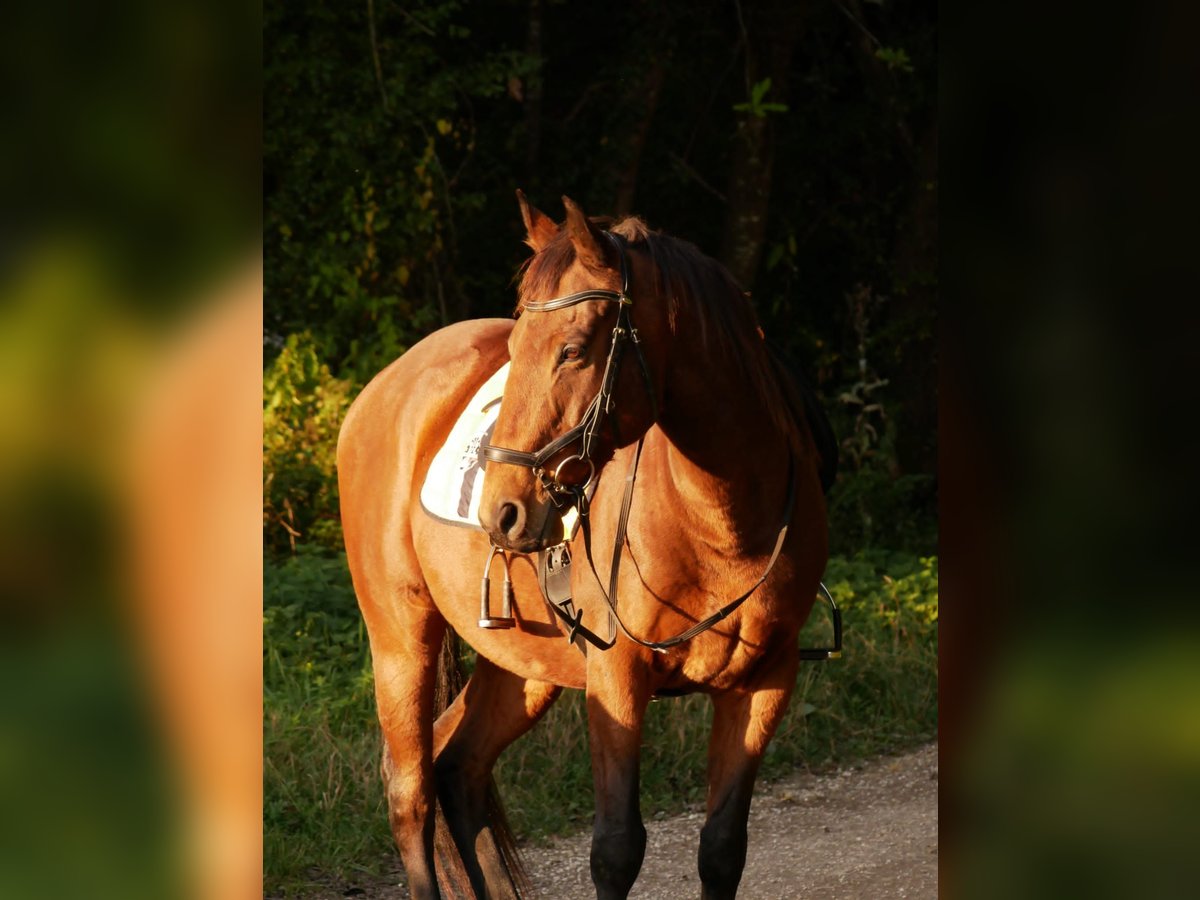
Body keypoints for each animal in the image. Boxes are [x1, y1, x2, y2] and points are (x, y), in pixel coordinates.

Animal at [333, 194, 830, 897]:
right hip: (402, 636)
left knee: (458, 763)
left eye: (571, 350)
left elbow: (722, 849)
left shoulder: (765, 681)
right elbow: (617, 848)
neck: (721, 522)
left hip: (524, 663)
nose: (502, 509)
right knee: (412, 792)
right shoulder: (617, 676)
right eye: (516, 347)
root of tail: (382, 389)